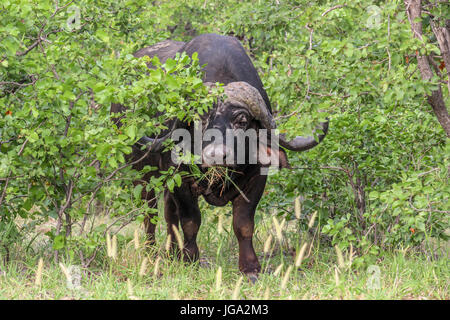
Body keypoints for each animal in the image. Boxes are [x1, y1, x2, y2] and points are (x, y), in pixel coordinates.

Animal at [111, 33, 328, 280]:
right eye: (199, 119)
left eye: (242, 121)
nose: (216, 156)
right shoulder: (181, 181)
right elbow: (191, 221)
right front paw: (191, 260)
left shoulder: (256, 180)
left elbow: (243, 223)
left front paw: (250, 267)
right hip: (140, 174)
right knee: (150, 212)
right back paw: (151, 251)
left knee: (168, 212)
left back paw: (171, 252)